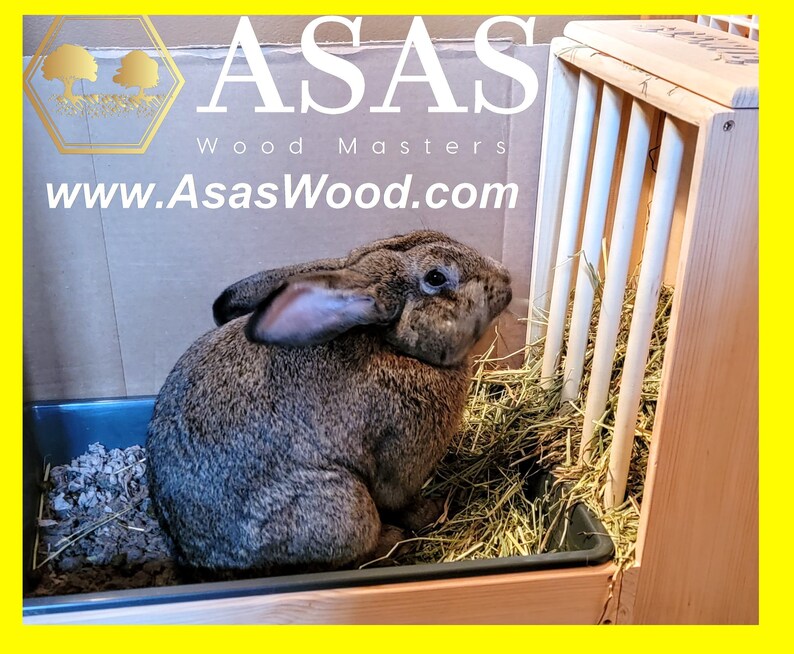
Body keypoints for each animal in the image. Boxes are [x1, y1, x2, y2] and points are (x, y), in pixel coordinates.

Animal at [146, 230, 512, 573]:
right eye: (436, 277)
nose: (506, 277)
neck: (392, 344)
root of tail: (196, 557)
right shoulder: (403, 464)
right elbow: (404, 502)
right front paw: (437, 509)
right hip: (346, 508)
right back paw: (393, 541)